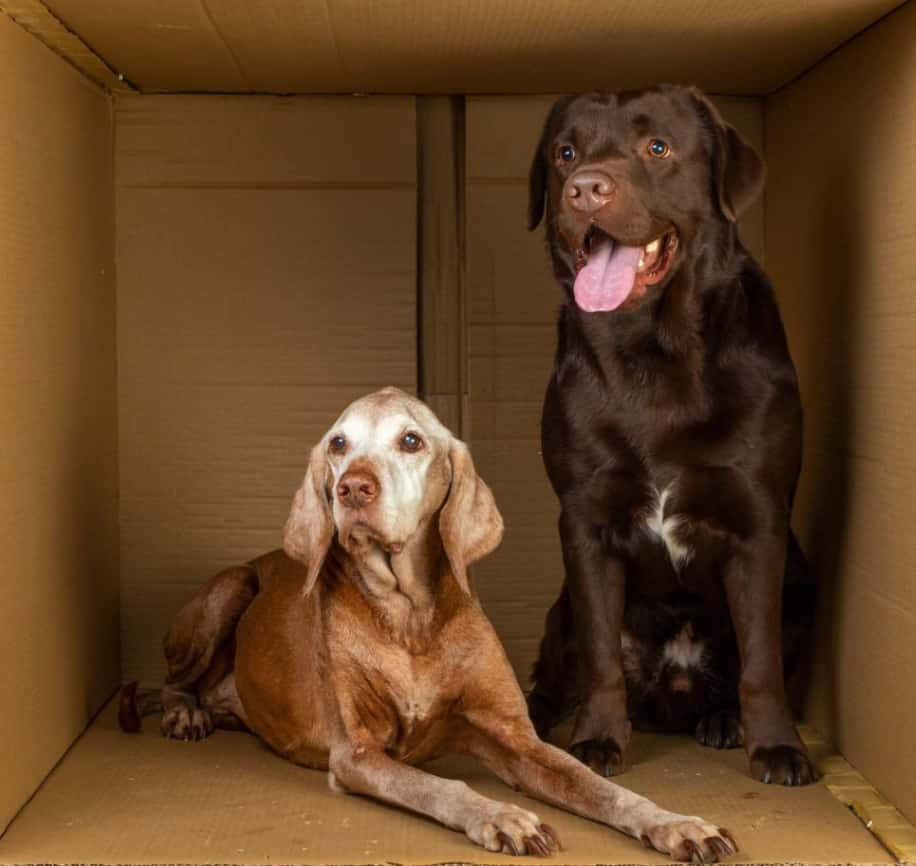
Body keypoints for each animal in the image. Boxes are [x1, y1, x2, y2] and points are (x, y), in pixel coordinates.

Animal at [121, 390, 736, 856]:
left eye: (411, 441)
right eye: (338, 444)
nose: (352, 487)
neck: (409, 617)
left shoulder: (517, 739)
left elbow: (602, 789)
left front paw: (677, 823)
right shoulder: (359, 755)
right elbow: (445, 787)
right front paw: (502, 816)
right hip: (230, 589)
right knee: (174, 679)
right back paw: (184, 713)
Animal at [524, 86, 820, 784]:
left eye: (656, 148)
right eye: (565, 153)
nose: (584, 188)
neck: (652, 352)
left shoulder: (759, 522)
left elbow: (761, 660)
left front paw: (777, 747)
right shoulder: (584, 524)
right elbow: (602, 656)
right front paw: (596, 739)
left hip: (802, 589)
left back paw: (723, 720)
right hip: (561, 607)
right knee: (554, 672)